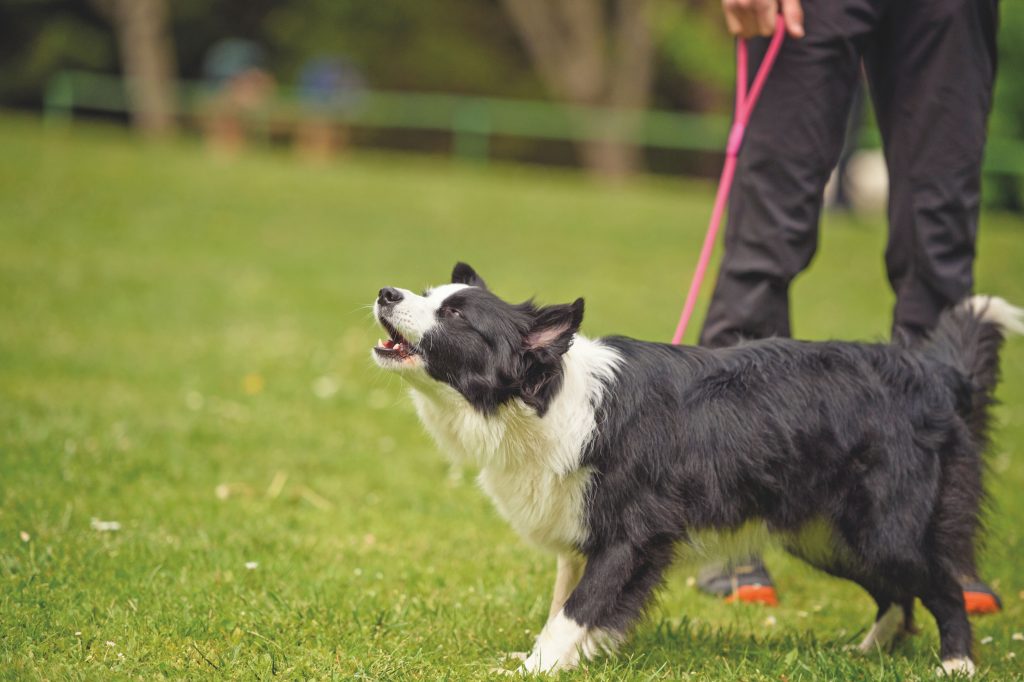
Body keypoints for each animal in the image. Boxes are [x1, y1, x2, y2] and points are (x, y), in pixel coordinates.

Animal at [372, 262, 1019, 671]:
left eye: (457, 315)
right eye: (425, 294)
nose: (385, 293)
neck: (543, 399)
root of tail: (933, 373)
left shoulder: (633, 534)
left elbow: (575, 610)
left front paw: (537, 665)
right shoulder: (580, 530)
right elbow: (565, 601)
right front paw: (559, 658)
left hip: (881, 527)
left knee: (942, 585)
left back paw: (957, 664)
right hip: (826, 535)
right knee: (898, 596)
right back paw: (867, 653)